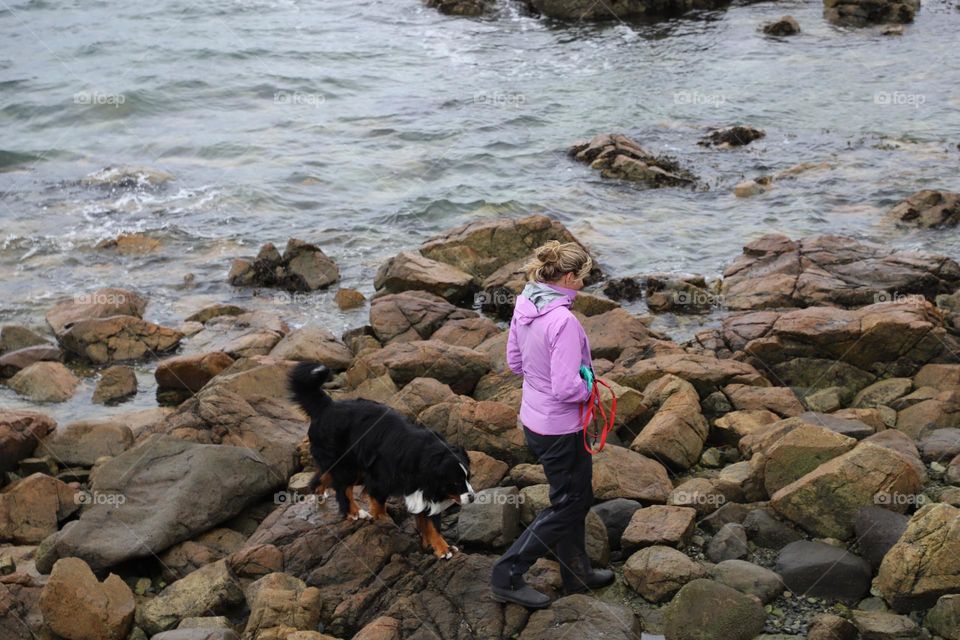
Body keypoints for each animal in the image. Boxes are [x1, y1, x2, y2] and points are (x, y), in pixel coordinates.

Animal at [288, 362, 476, 556]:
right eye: (455, 482)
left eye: (468, 477)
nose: (472, 497)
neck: (424, 456)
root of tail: (327, 406)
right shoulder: (382, 478)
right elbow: (378, 500)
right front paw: (383, 518)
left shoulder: (423, 489)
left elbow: (430, 522)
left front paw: (441, 547)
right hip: (348, 465)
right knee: (343, 489)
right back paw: (355, 513)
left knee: (321, 478)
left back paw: (320, 495)